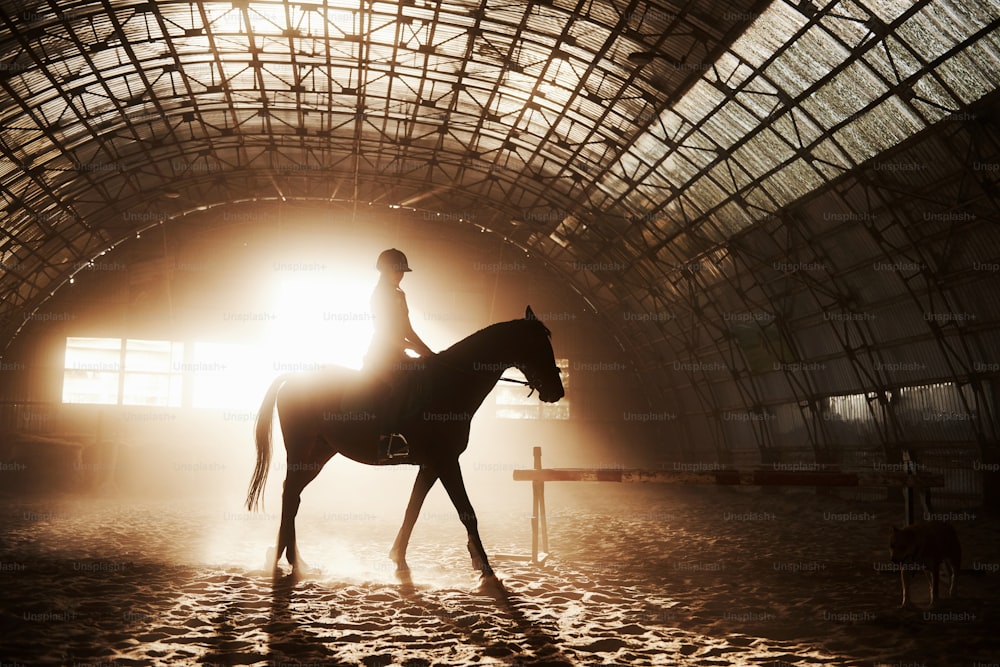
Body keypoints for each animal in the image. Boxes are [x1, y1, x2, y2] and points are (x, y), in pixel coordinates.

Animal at [244, 308, 564, 584]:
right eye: (537, 345)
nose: (557, 391)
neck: (451, 385)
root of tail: (294, 378)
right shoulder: (447, 461)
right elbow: (466, 511)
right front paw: (484, 566)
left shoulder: (431, 464)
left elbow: (413, 508)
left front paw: (398, 558)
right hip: (302, 449)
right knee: (290, 494)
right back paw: (287, 561)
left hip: (320, 453)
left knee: (293, 494)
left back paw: (292, 559)